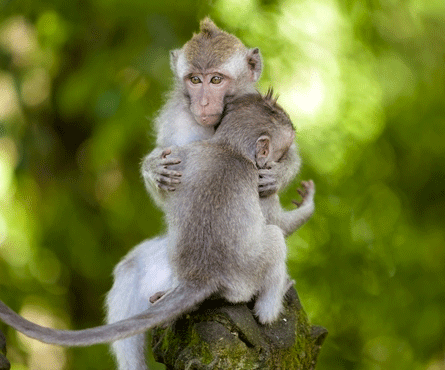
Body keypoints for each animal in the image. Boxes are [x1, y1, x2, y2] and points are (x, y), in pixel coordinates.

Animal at [0, 91, 312, 352]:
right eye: (281, 151)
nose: (278, 161)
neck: (229, 147)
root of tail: (203, 276)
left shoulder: (184, 154)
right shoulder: (260, 183)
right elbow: (279, 224)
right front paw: (308, 204)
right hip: (246, 275)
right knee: (274, 238)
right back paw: (273, 303)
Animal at [105, 18, 312, 370]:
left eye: (216, 79)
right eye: (194, 80)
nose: (202, 103)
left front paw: (281, 173)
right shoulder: (177, 120)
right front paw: (153, 168)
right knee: (132, 268)